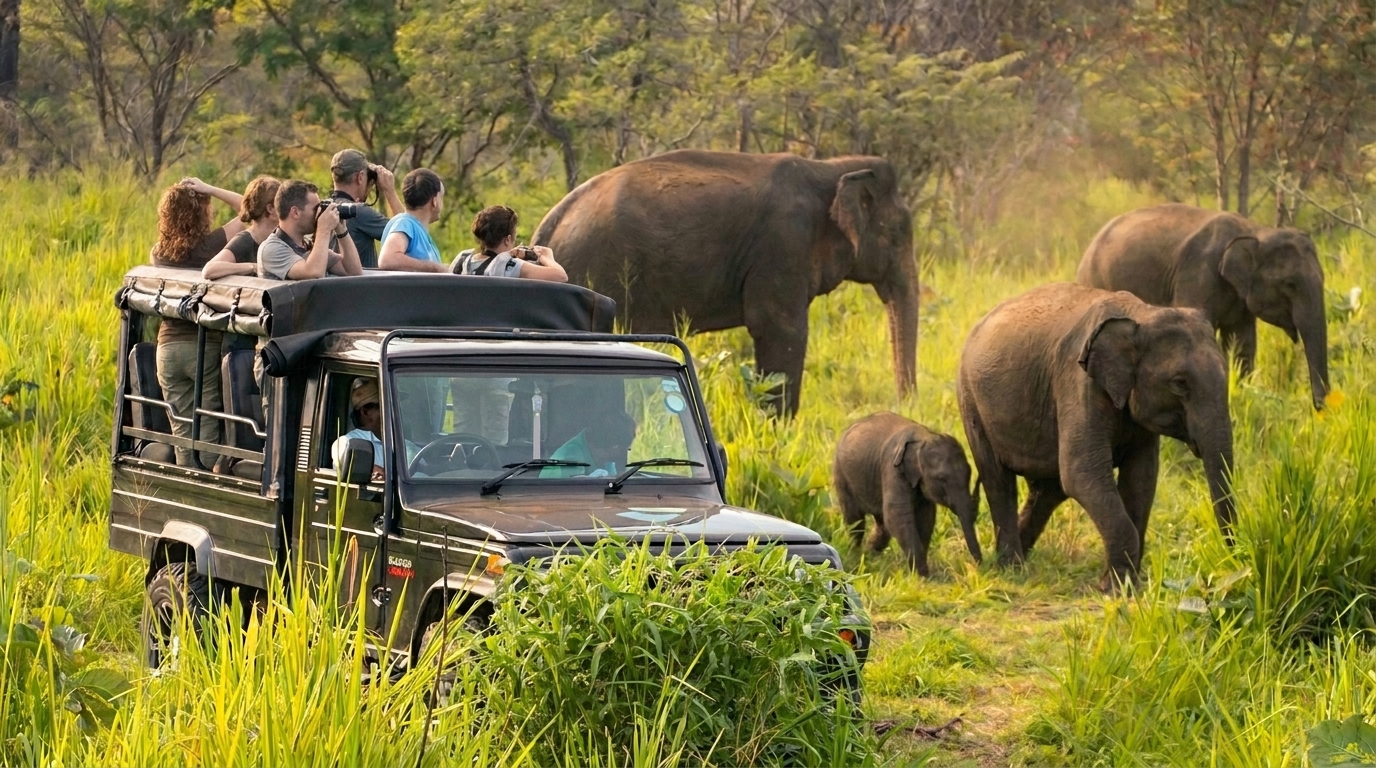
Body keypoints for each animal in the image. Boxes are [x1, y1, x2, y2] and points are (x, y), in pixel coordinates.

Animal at [533, 149, 917, 415]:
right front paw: (777, 430)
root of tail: (550, 221)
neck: (831, 168)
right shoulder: (783, 245)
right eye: (897, 236)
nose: (903, 405)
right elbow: (781, 331)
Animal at [832, 412, 983, 576]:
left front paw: (919, 573)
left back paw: (869, 554)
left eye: (969, 474)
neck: (925, 437)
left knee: (882, 524)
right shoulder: (893, 468)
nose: (978, 567)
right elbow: (897, 516)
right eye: (941, 479)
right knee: (855, 520)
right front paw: (923, 575)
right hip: (841, 474)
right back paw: (856, 554)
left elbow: (925, 518)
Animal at [957, 283, 1236, 591]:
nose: (1230, 562)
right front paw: (1116, 589)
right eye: (1179, 383)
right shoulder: (1078, 381)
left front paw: (1127, 585)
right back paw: (1012, 567)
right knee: (998, 479)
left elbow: (1140, 478)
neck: (1141, 314)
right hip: (971, 399)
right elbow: (1082, 473)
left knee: (1049, 490)